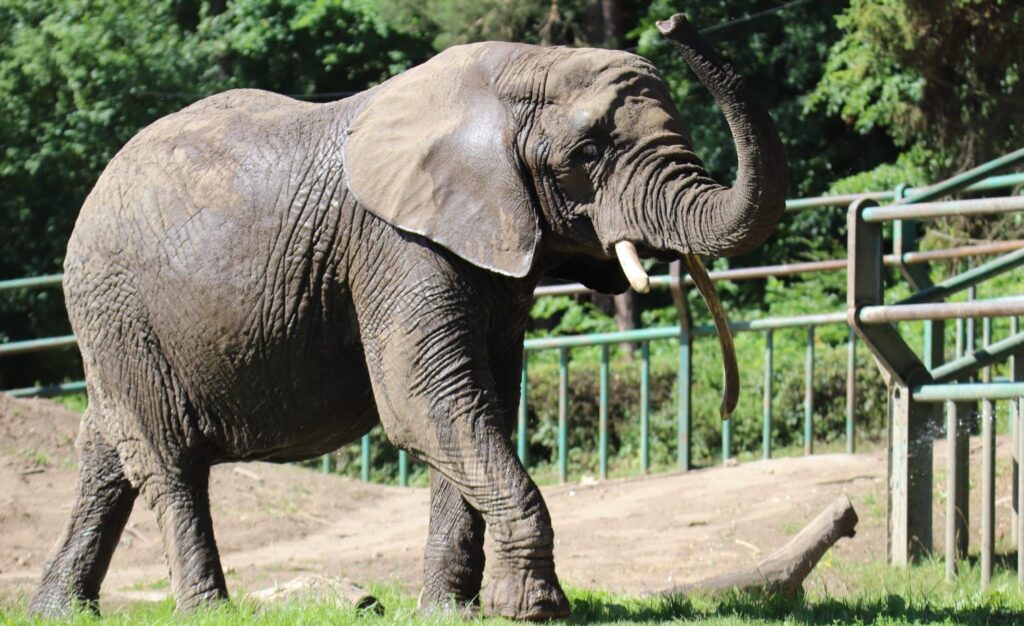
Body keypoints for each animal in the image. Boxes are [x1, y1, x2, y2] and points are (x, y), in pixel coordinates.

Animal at [29, 14, 782, 622]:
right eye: (588, 154)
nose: (671, 22)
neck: (510, 71)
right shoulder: (395, 243)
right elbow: (426, 401)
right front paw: (533, 610)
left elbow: (475, 404)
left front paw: (450, 612)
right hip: (116, 305)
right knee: (167, 460)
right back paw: (208, 612)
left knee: (105, 452)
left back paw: (57, 612)